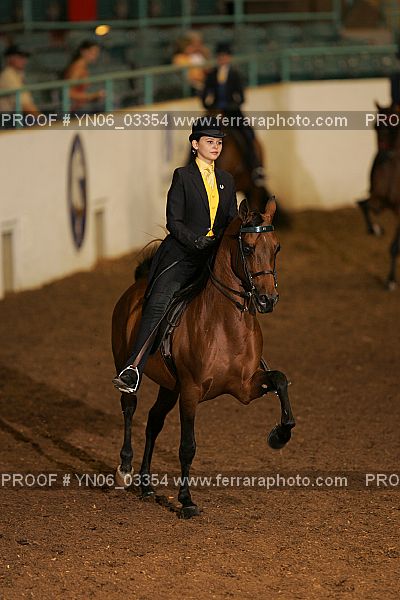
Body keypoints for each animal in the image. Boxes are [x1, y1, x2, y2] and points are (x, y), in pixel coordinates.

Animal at [111, 197, 295, 518]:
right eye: (248, 248)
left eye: (277, 247)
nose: (267, 300)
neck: (226, 324)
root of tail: (134, 290)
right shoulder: (191, 391)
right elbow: (188, 446)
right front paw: (186, 500)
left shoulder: (245, 387)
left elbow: (280, 380)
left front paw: (280, 435)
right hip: (130, 369)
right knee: (130, 409)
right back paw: (125, 470)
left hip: (169, 387)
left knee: (153, 422)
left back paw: (146, 485)